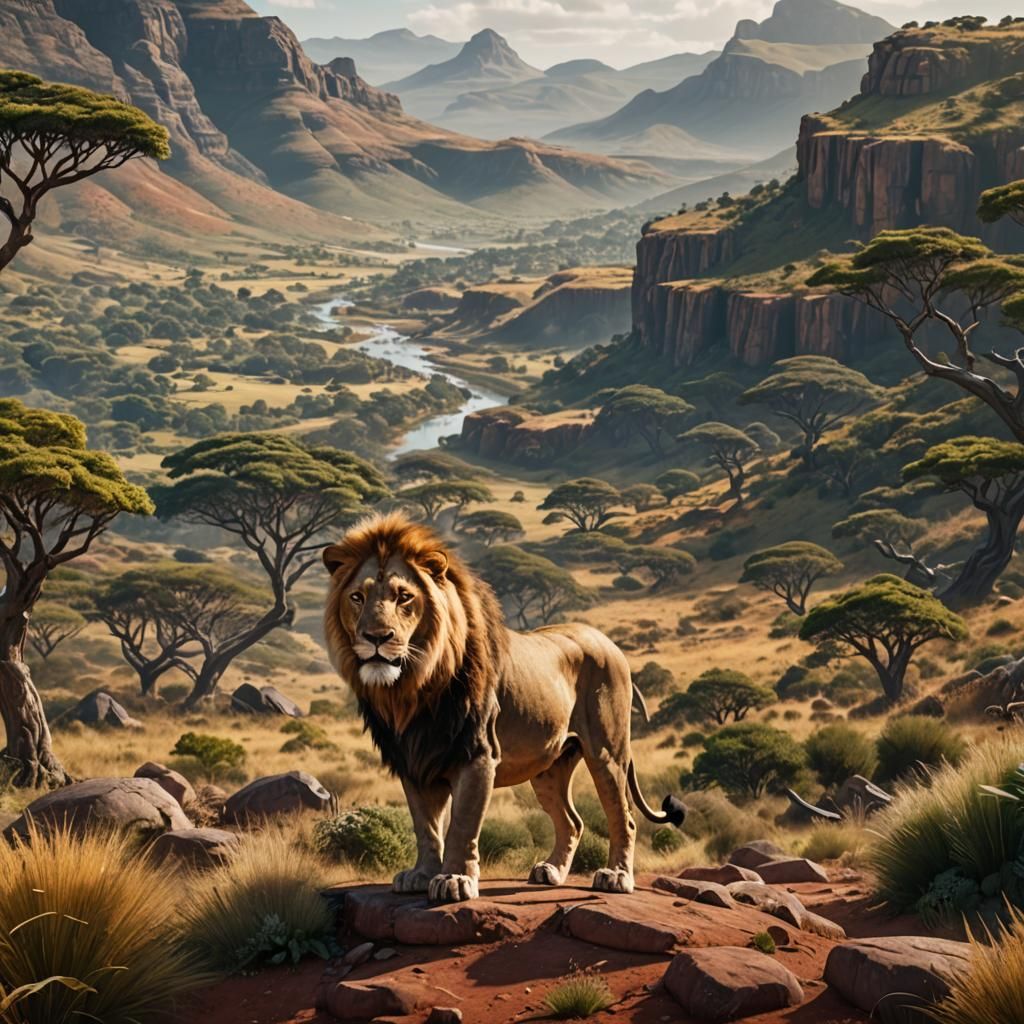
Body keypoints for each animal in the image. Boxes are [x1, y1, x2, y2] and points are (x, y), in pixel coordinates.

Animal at [323, 512, 685, 903]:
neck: (414, 688)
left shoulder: (477, 755)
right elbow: (426, 825)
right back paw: (551, 871)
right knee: (572, 821)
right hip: (549, 767)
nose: (377, 637)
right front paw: (421, 874)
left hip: (607, 751)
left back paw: (616, 876)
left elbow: (462, 824)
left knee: (624, 817)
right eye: (357, 597)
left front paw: (454, 880)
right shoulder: (415, 759)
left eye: (404, 597)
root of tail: (611, 645)